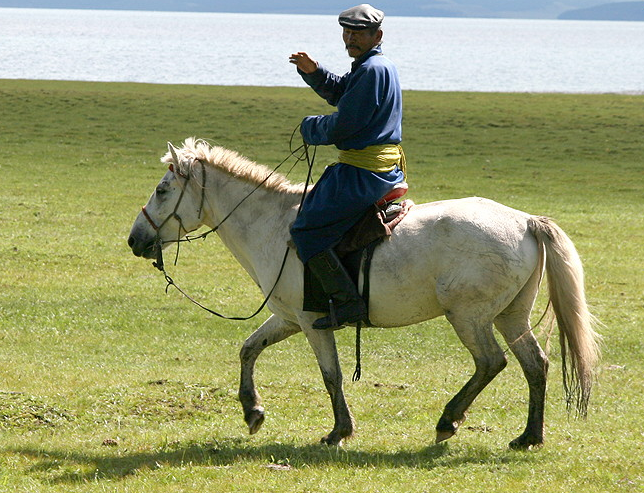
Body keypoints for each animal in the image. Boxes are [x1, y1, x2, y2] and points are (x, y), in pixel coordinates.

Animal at [128, 138, 600, 450]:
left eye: (163, 190)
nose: (135, 240)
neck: (275, 225)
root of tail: (525, 221)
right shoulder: (289, 318)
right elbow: (249, 349)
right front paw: (252, 411)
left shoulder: (311, 323)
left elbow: (331, 374)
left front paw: (339, 431)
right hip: (510, 316)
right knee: (534, 365)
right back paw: (528, 436)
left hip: (470, 317)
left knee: (491, 362)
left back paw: (448, 421)